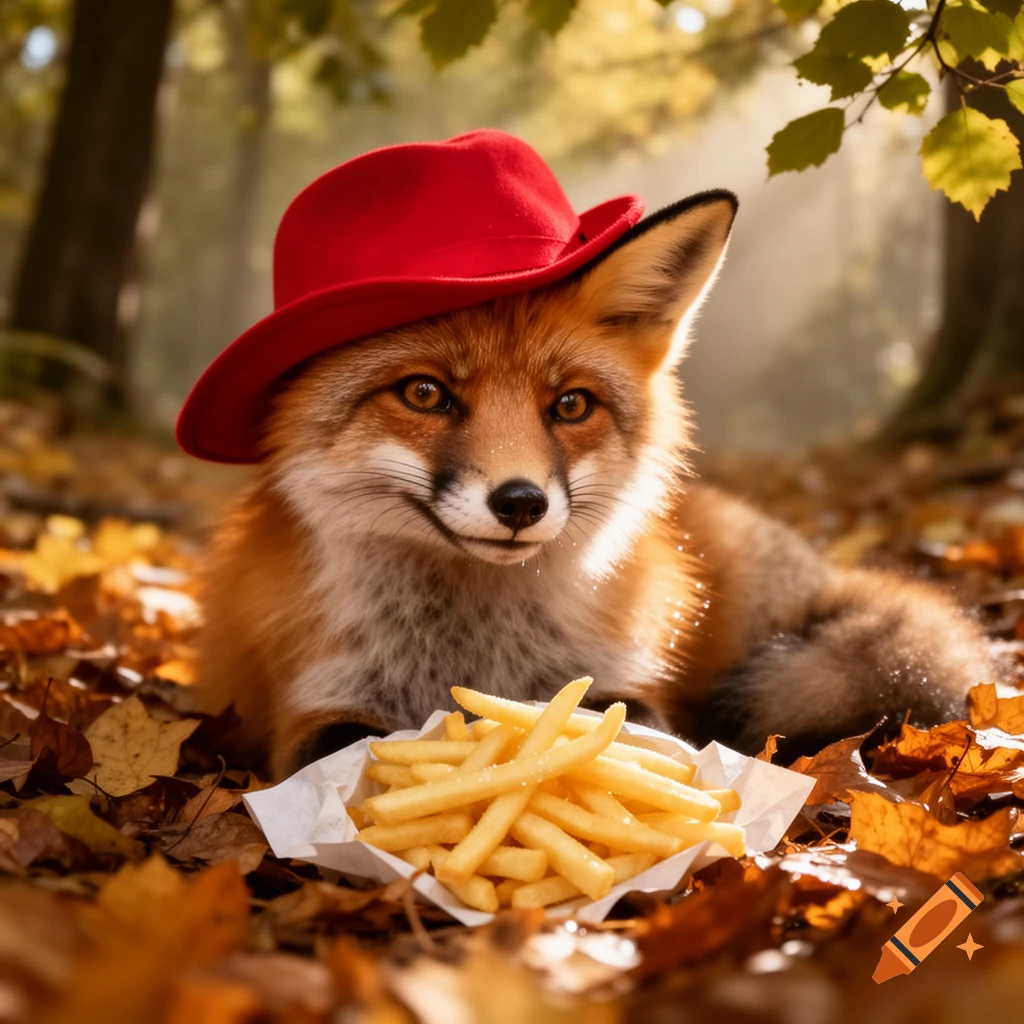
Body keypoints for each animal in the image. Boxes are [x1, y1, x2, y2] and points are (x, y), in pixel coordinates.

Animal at [197, 188, 993, 782]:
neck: (473, 649)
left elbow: (641, 732)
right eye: (425, 394)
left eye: (571, 405)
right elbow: (350, 749)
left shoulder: (620, 682)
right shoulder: (313, 702)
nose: (521, 502)